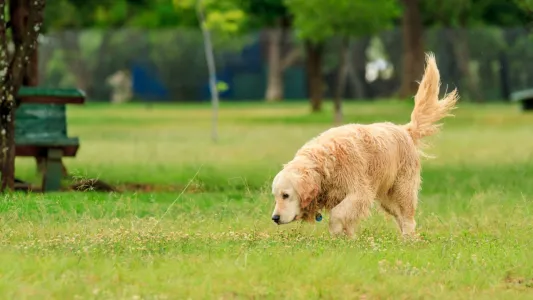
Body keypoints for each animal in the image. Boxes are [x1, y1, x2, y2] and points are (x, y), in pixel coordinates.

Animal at [270, 53, 458, 237]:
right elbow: (347, 222)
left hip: (402, 190)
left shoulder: (359, 193)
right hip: (387, 199)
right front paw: (348, 240)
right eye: (276, 196)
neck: (325, 163)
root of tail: (404, 129)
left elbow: (337, 215)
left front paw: (336, 232)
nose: (275, 218)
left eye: (285, 195)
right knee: (400, 217)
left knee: (408, 218)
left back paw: (409, 240)